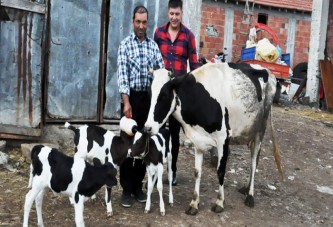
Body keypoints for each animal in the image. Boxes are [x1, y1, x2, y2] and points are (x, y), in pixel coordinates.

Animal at [144, 61, 282, 215]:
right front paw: (194, 203)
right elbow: (197, 172)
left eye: (164, 95)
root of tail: (267, 71)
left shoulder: (223, 139)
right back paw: (246, 189)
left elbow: (220, 171)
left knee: (253, 160)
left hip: (261, 129)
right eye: (149, 94)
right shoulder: (198, 141)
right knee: (255, 158)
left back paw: (250, 196)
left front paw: (219, 202)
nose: (147, 128)